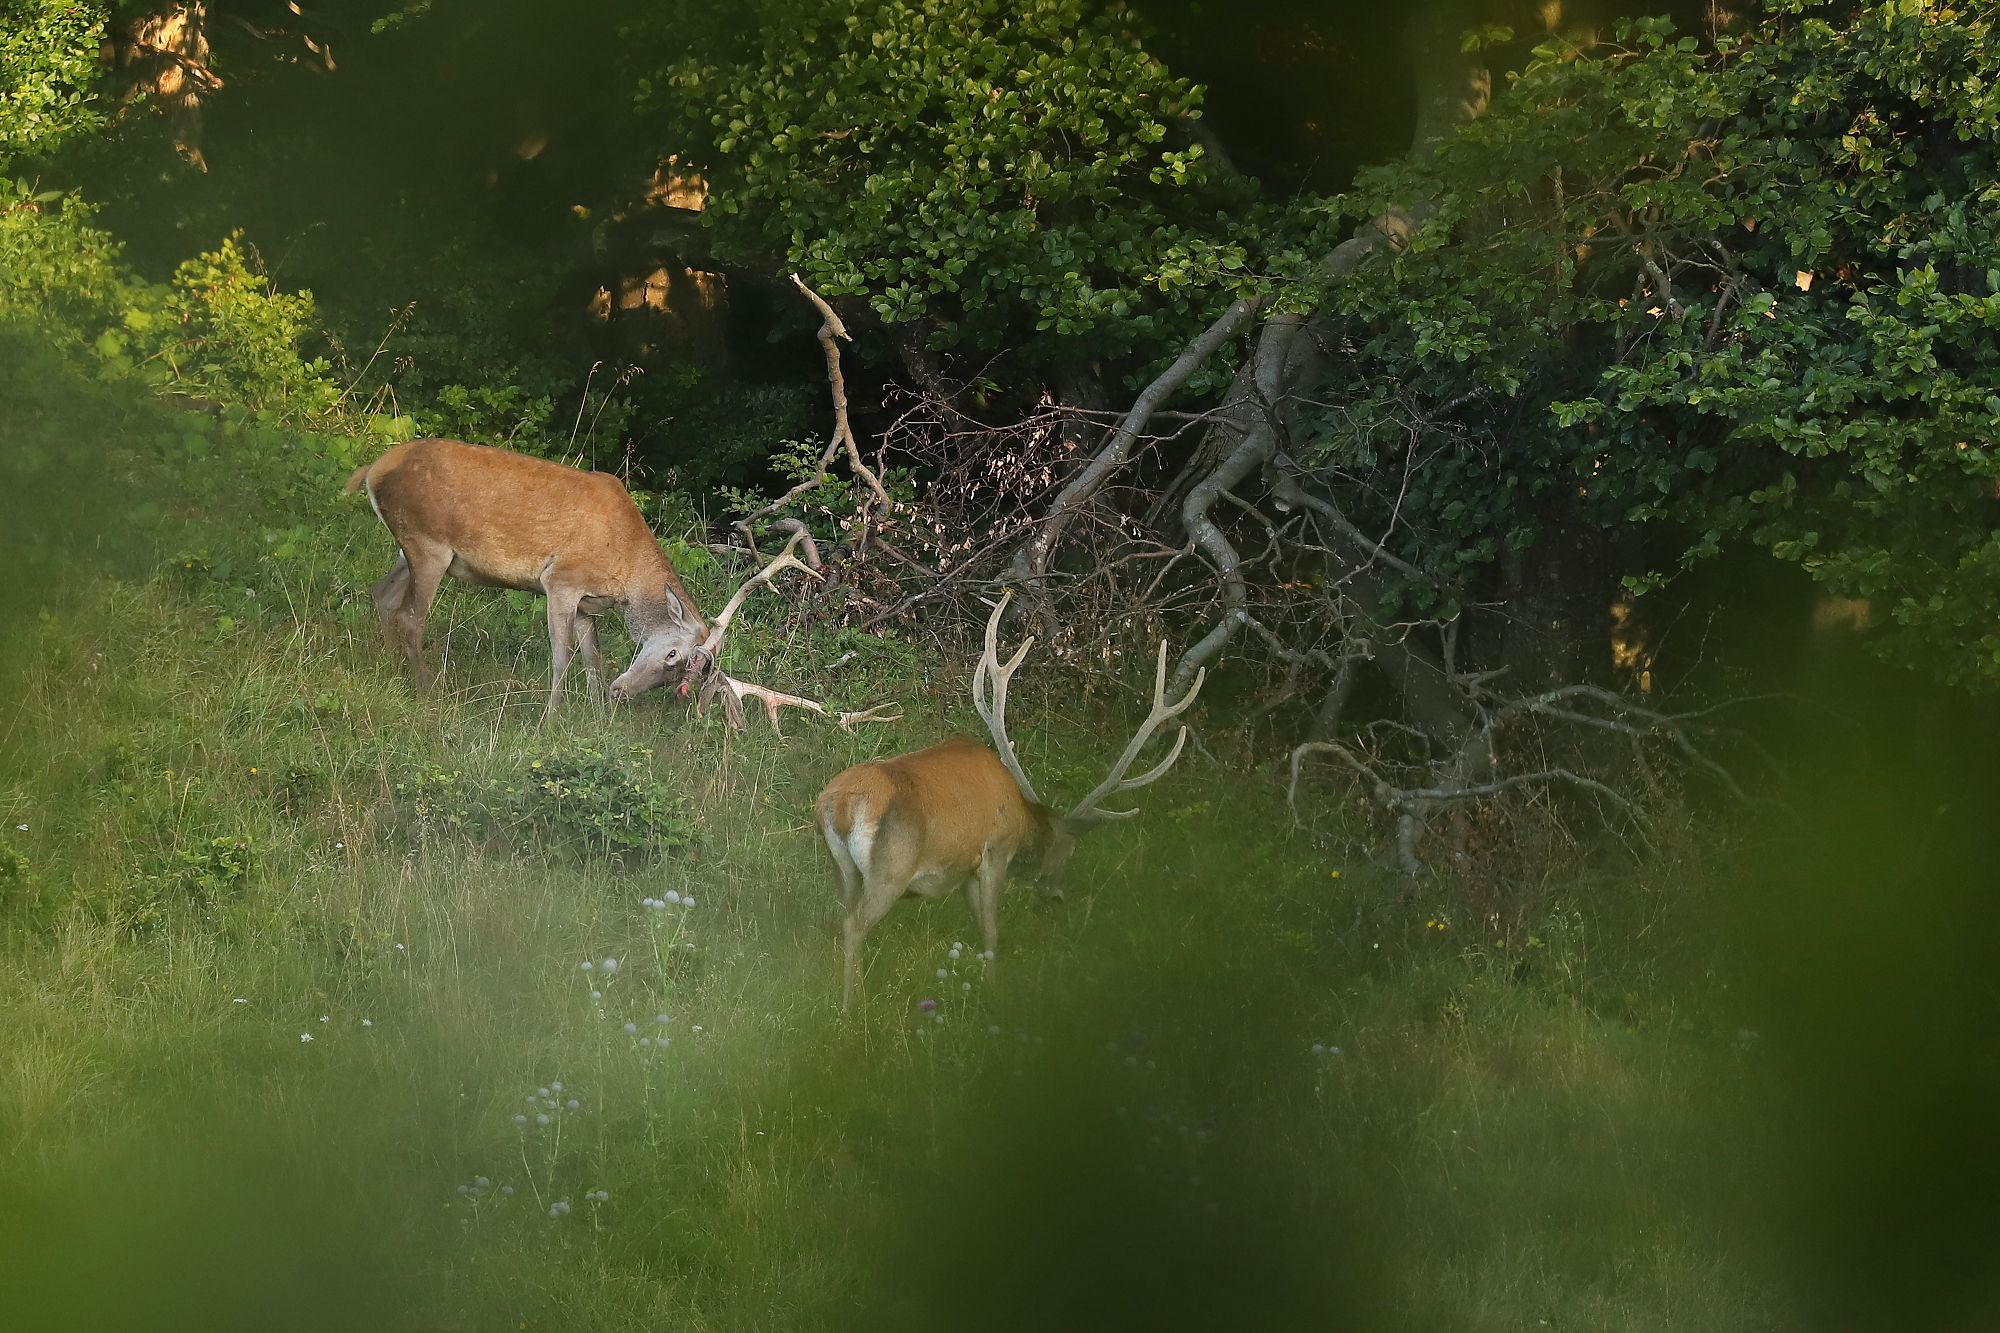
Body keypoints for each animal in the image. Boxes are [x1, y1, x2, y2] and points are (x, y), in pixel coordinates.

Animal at [348, 438, 880, 728]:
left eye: (675, 678)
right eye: (673, 655)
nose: (627, 694)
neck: (624, 570)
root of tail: (373, 469)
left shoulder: (589, 604)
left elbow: (593, 660)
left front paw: (598, 714)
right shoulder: (560, 580)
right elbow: (562, 657)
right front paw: (551, 719)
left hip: (408, 548)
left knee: (381, 596)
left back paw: (387, 671)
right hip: (428, 543)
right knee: (410, 615)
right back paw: (424, 688)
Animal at [812, 592, 1200, 1008]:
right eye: (1068, 850)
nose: (1057, 895)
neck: (1022, 818)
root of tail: (838, 805)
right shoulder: (994, 853)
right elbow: (991, 933)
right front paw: (994, 990)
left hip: (842, 868)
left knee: (843, 914)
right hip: (892, 867)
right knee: (854, 925)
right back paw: (852, 1005)